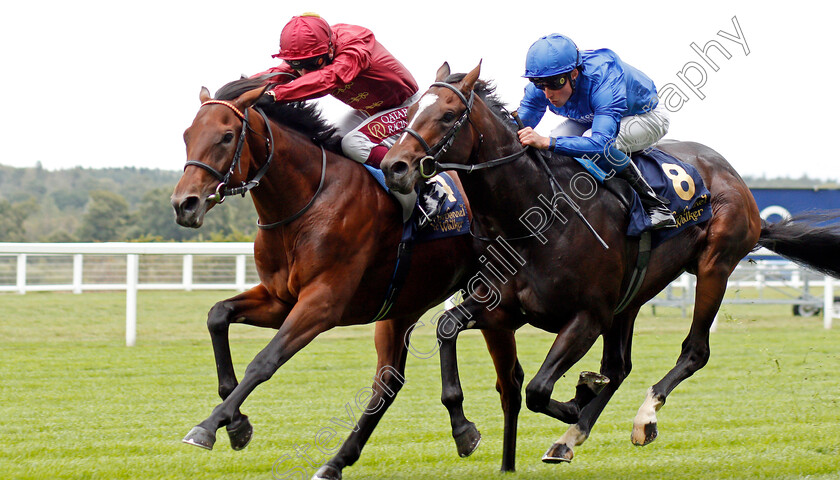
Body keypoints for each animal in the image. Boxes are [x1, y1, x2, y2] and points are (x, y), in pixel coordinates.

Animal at [171, 76, 524, 480]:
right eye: (188, 134)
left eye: (227, 136)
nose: (184, 204)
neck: (307, 201)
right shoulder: (280, 300)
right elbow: (218, 315)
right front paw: (237, 424)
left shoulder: (323, 303)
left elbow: (264, 361)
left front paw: (209, 425)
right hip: (402, 304)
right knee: (388, 383)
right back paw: (343, 460)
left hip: (488, 291)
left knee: (509, 380)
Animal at [380, 62, 840, 468]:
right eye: (413, 109)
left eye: (447, 115)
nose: (393, 166)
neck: (532, 218)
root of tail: (737, 181)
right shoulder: (505, 307)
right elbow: (446, 328)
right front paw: (464, 430)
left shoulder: (587, 316)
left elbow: (539, 389)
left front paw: (577, 397)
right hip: (631, 297)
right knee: (618, 367)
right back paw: (568, 439)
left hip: (715, 267)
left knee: (694, 351)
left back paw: (643, 418)